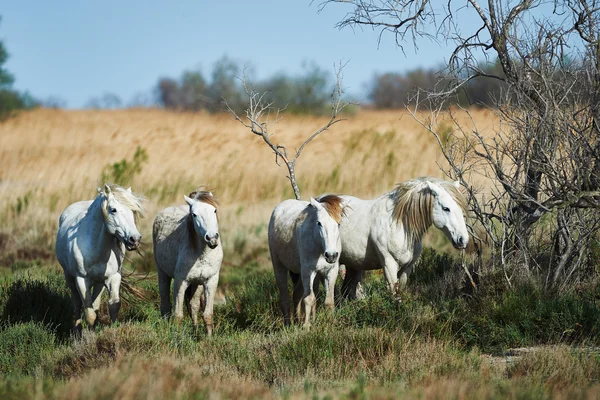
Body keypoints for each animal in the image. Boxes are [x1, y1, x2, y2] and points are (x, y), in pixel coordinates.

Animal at [56, 184, 145, 332]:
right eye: (113, 210)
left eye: (133, 211)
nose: (135, 239)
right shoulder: (82, 280)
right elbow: (89, 313)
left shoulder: (113, 277)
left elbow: (113, 306)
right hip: (69, 277)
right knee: (76, 302)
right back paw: (77, 330)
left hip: (99, 282)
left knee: (96, 304)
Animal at [152, 189, 223, 336]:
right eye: (194, 214)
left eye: (214, 210)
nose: (212, 238)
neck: (201, 253)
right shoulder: (181, 281)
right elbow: (178, 315)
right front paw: (176, 336)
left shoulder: (211, 281)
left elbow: (207, 314)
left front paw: (209, 338)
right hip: (162, 274)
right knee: (165, 305)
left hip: (197, 283)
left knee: (193, 305)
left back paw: (195, 330)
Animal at [268, 195, 346, 328]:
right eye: (319, 223)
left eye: (339, 224)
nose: (331, 255)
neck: (319, 245)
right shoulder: (308, 271)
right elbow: (309, 299)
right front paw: (306, 326)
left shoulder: (331, 271)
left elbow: (329, 301)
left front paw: (330, 324)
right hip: (279, 266)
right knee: (285, 298)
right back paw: (288, 325)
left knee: (297, 294)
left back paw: (298, 320)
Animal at [338, 177, 468, 298]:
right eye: (446, 208)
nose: (463, 240)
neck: (400, 225)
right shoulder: (389, 266)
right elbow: (395, 295)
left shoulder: (407, 268)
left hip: (353, 265)